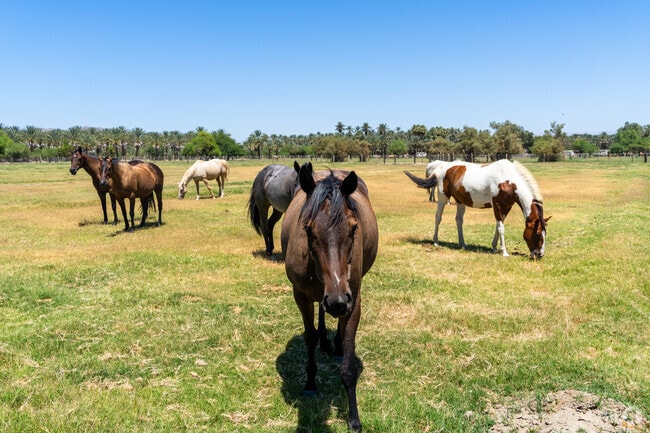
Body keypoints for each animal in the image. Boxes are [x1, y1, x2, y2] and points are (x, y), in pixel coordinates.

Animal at [281, 167, 378, 432]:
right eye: (307, 229)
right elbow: (310, 336)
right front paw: (310, 383)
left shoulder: (354, 301)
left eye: (354, 228)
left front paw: (354, 418)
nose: (337, 301)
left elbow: (348, 362)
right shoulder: (301, 296)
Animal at [405, 159, 550, 259]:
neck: (508, 180)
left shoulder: (506, 207)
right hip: (442, 199)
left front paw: (494, 248)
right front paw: (504, 251)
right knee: (438, 218)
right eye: (537, 234)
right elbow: (501, 228)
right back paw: (435, 241)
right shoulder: (497, 205)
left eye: (545, 233)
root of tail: (441, 168)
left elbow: (498, 226)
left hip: (460, 202)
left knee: (458, 220)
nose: (540, 254)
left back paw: (462, 244)